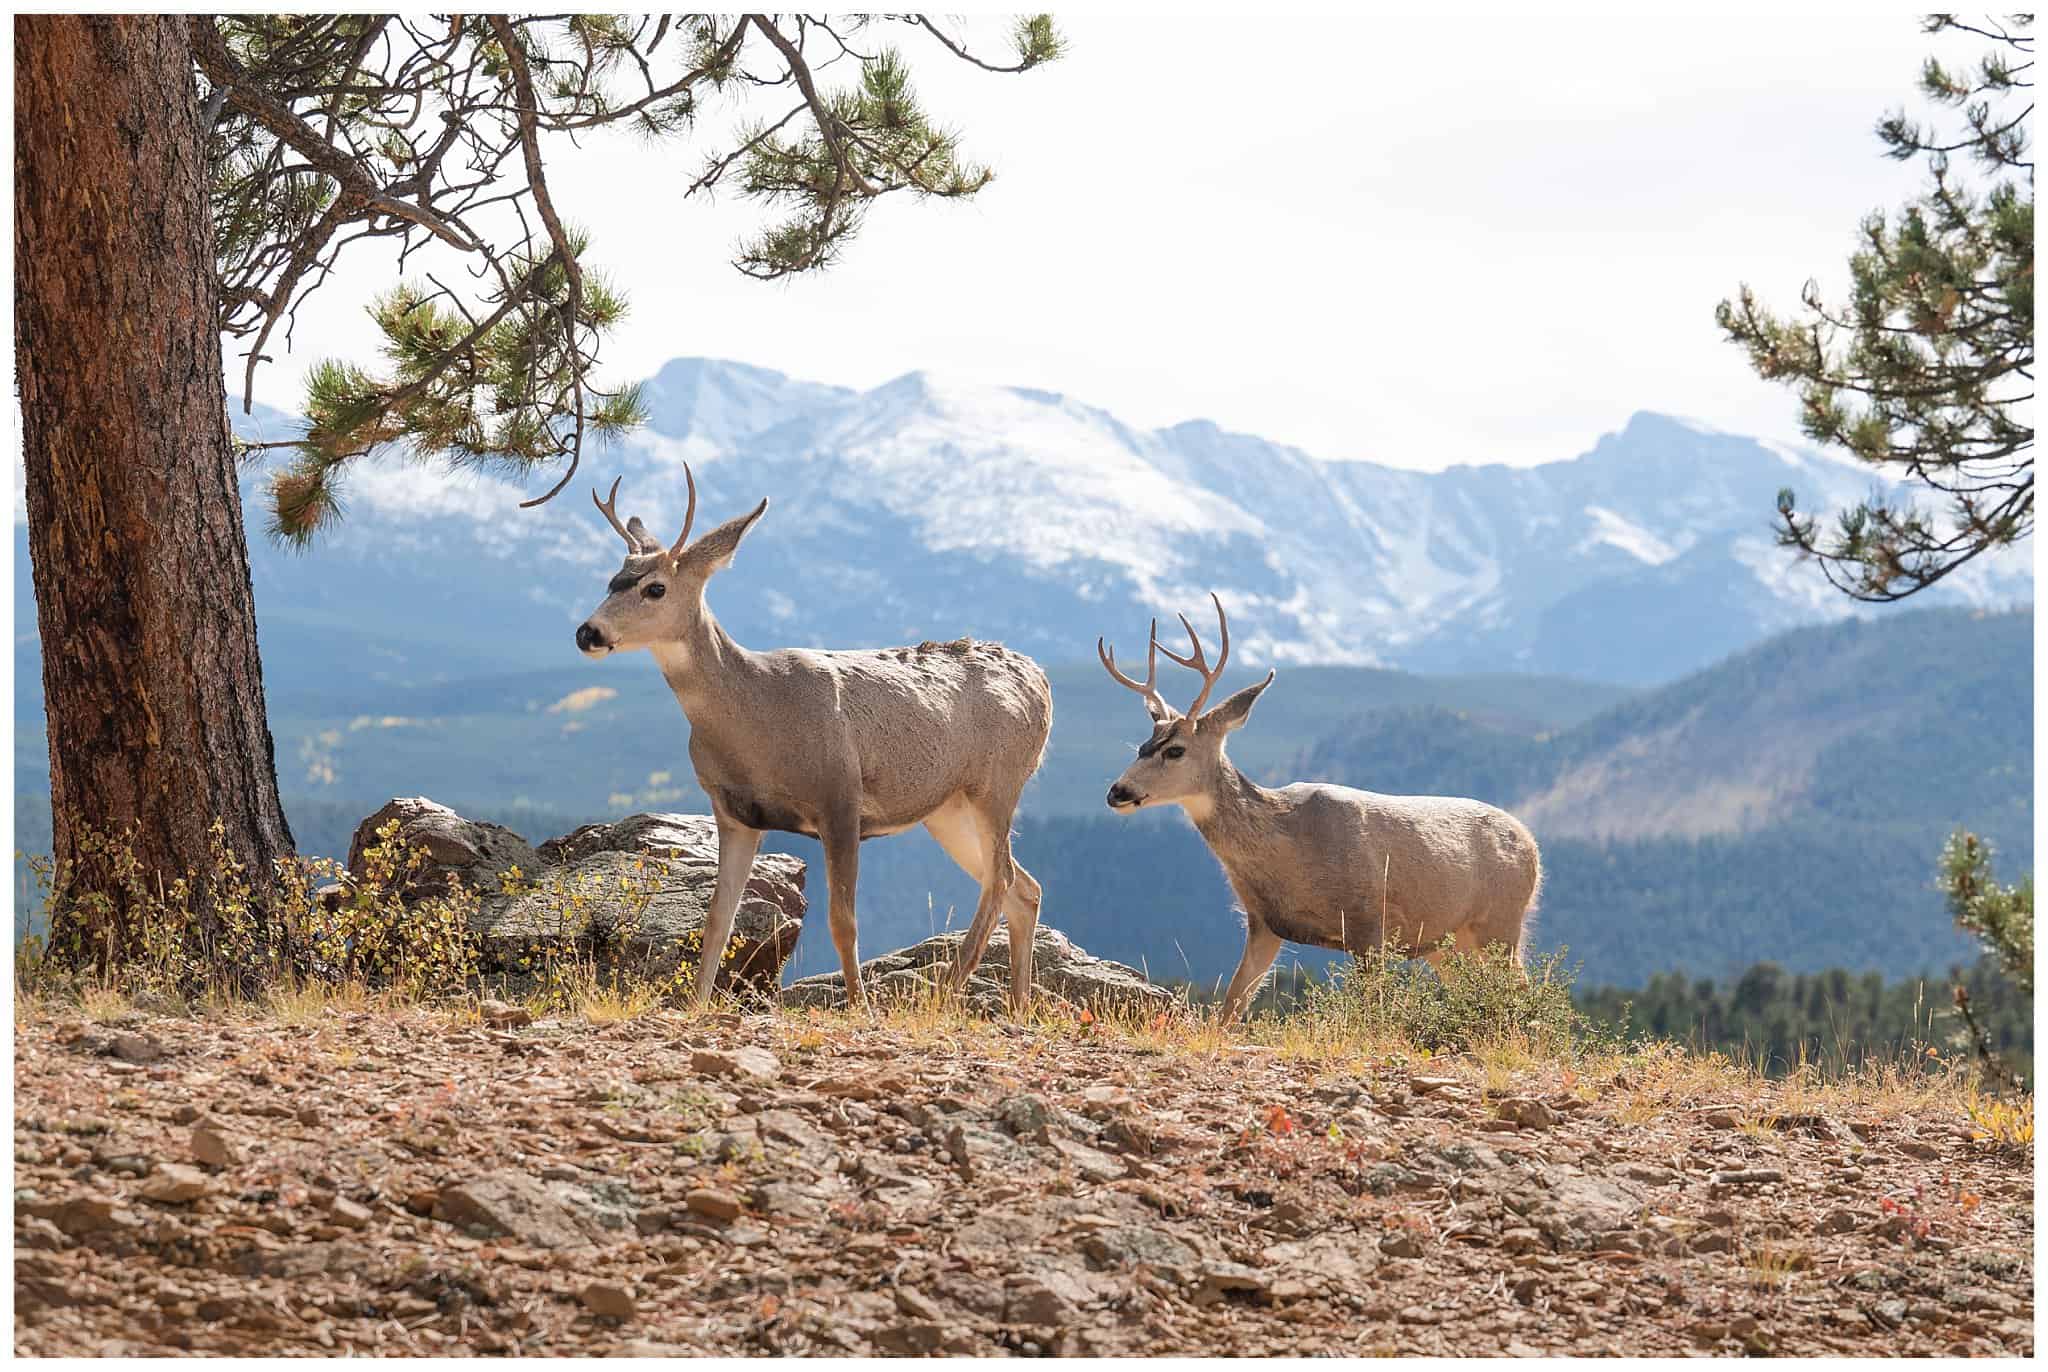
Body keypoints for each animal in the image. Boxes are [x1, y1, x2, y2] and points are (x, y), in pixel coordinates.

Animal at [577, 466, 1056, 1015]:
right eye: (611, 581)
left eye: (654, 588)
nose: (588, 632)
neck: (757, 715)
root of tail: (1040, 679)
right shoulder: (733, 812)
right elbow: (717, 919)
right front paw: (695, 1005)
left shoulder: (840, 796)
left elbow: (843, 921)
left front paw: (861, 1007)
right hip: (946, 809)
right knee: (1025, 887)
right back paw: (1019, 1006)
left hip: (998, 782)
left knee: (1001, 881)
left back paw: (944, 994)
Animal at [1105, 597, 1540, 1027]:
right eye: (1141, 746)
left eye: (1175, 750)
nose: (1117, 792)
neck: (1289, 848)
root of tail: (1531, 844)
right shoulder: (1264, 922)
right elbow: (1231, 1006)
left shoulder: (1369, 924)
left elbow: (1369, 1017)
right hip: (1446, 942)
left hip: (1501, 922)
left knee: (1522, 990)